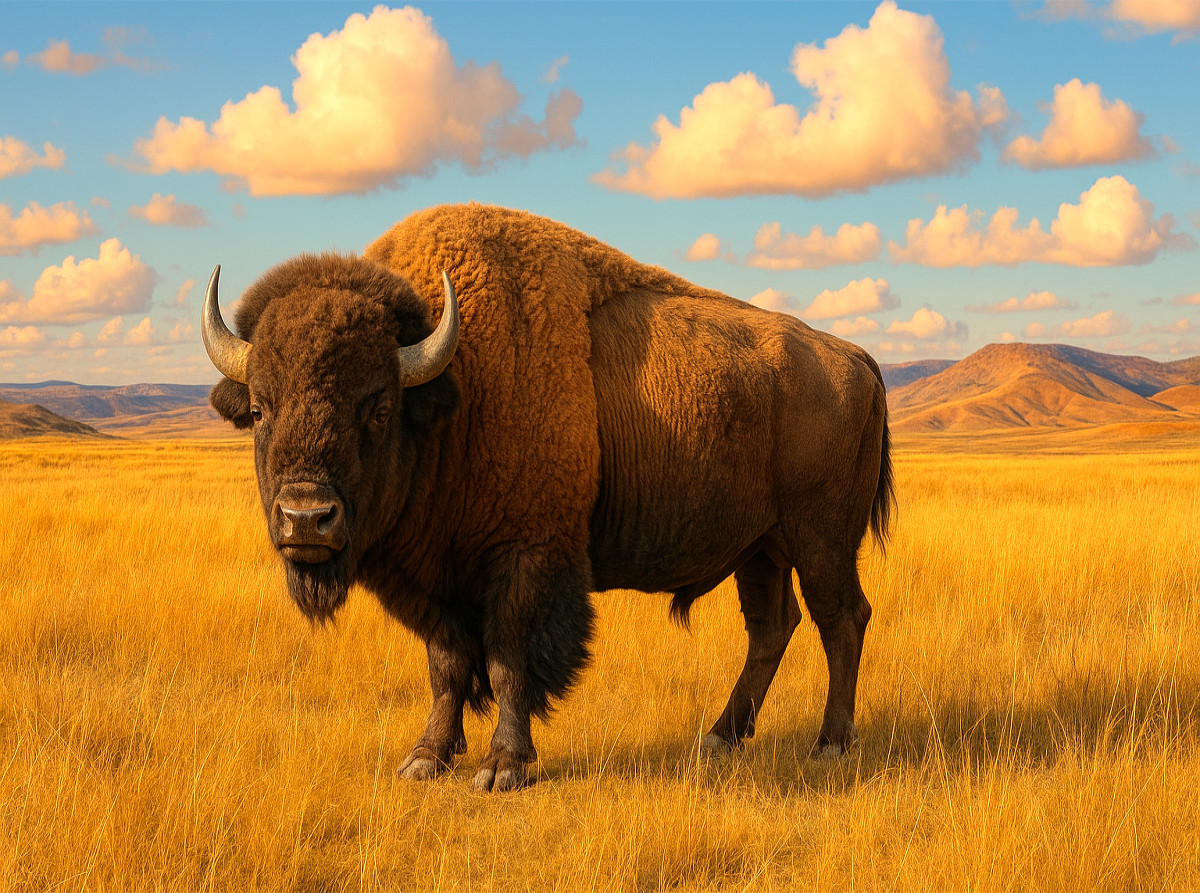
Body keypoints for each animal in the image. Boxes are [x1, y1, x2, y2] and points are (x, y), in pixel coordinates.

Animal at [203, 204, 893, 791]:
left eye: (377, 406)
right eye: (260, 408)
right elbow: (446, 666)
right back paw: (723, 737)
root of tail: (856, 357)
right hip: (761, 548)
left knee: (841, 618)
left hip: (821, 539)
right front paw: (426, 758)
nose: (306, 519)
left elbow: (509, 662)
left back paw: (831, 744)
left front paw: (502, 768)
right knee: (771, 627)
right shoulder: (434, 585)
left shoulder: (526, 561)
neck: (455, 389)